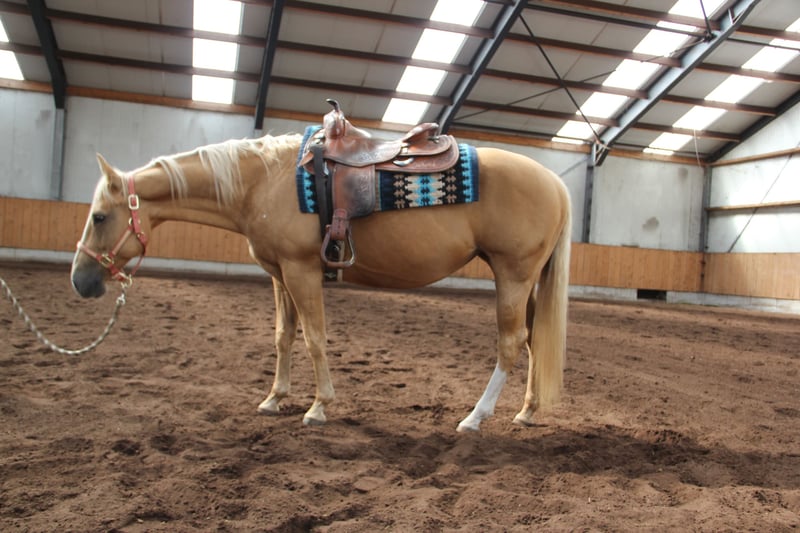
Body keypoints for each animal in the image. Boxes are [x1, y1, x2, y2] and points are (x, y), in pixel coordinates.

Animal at [70, 131, 572, 432]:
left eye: (99, 217)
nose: (80, 281)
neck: (264, 181)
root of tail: (553, 181)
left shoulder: (301, 270)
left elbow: (314, 337)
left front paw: (318, 406)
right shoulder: (279, 275)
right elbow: (283, 336)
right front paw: (274, 399)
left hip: (513, 275)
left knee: (510, 344)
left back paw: (475, 417)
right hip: (526, 282)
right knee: (532, 341)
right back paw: (526, 411)